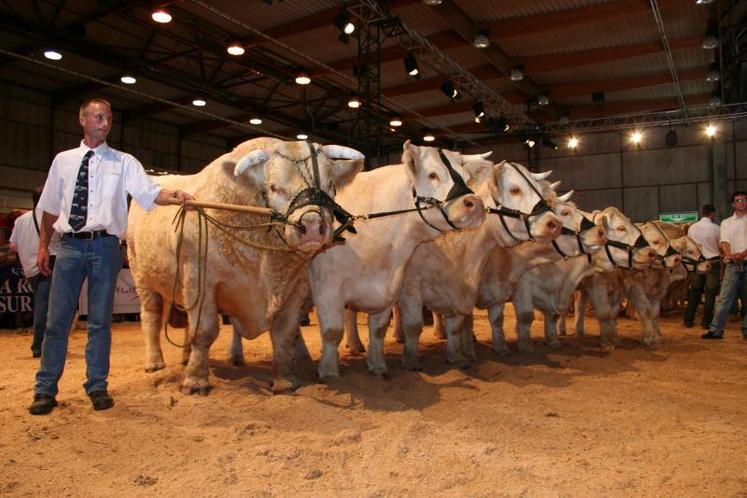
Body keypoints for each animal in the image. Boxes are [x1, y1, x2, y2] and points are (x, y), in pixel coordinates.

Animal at [127, 137, 364, 394]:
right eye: (273, 187)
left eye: (331, 184)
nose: (311, 226)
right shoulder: (200, 279)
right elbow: (204, 330)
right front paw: (195, 380)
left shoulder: (296, 286)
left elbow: (284, 333)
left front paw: (284, 380)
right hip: (141, 275)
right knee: (151, 316)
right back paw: (155, 362)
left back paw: (189, 357)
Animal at [309, 141, 491, 380]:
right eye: (432, 175)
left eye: (466, 178)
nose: (475, 204)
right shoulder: (328, 287)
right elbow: (331, 331)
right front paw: (329, 371)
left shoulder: (388, 287)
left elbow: (377, 330)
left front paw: (377, 365)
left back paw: (355, 345)